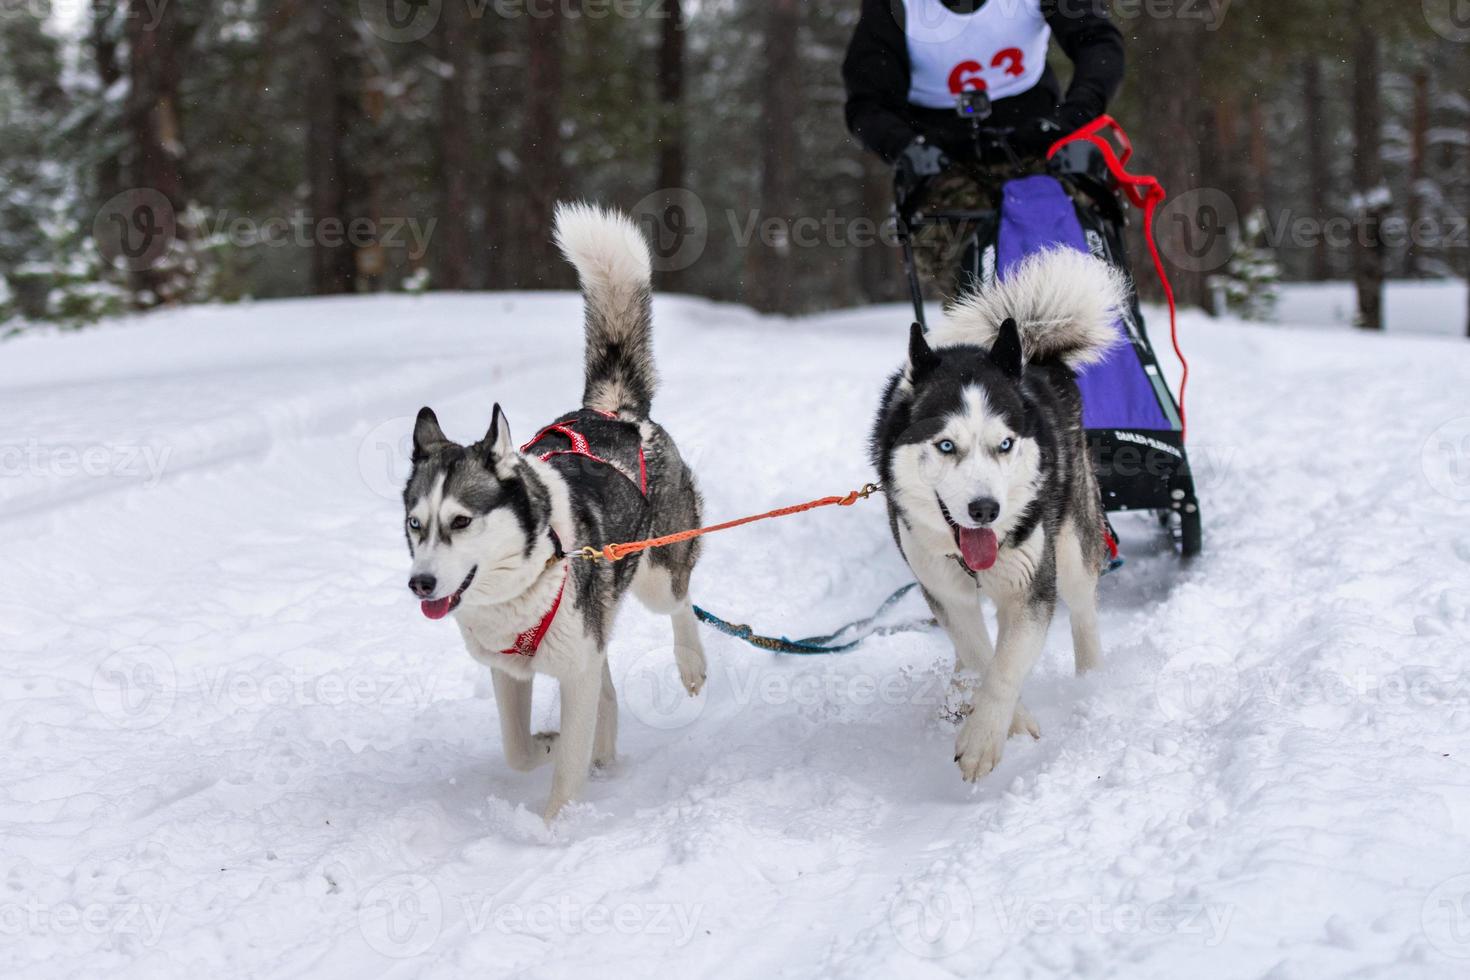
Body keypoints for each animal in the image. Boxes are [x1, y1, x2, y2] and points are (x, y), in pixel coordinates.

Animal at [399, 202, 702, 822]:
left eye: (461, 521)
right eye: (416, 524)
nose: (421, 584)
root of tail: (613, 412)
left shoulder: (575, 666)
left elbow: (564, 770)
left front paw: (555, 826)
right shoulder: (511, 671)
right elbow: (519, 750)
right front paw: (550, 741)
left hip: (657, 575)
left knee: (682, 601)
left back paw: (691, 664)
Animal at [870, 251, 1123, 781]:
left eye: (1004, 444)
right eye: (946, 445)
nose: (985, 509)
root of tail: (1037, 357)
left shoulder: (1032, 587)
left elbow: (1006, 666)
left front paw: (985, 737)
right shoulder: (943, 590)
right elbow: (980, 655)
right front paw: (1009, 719)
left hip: (1071, 546)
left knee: (1083, 609)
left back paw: (1090, 680)